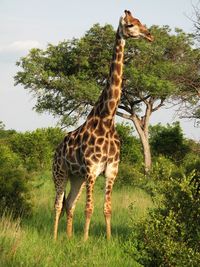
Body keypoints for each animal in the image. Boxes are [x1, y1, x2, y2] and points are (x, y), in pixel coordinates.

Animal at [52, 9, 153, 241]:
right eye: (131, 25)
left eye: (141, 22)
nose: (150, 35)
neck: (107, 118)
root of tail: (56, 150)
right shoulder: (92, 170)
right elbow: (89, 208)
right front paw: (84, 241)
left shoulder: (111, 171)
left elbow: (107, 208)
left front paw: (107, 240)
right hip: (60, 172)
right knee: (58, 205)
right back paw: (54, 238)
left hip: (76, 177)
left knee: (69, 204)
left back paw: (67, 238)